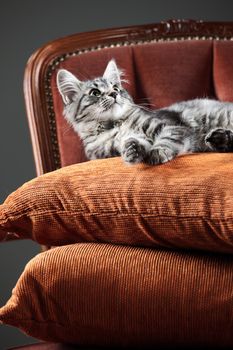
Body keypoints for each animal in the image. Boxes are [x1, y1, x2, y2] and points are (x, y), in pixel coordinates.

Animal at [56, 59, 233, 165]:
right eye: (95, 93)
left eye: (116, 88)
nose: (114, 94)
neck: (115, 126)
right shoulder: (104, 151)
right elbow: (131, 142)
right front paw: (132, 150)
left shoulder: (173, 126)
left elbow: (167, 139)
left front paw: (157, 152)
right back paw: (220, 138)